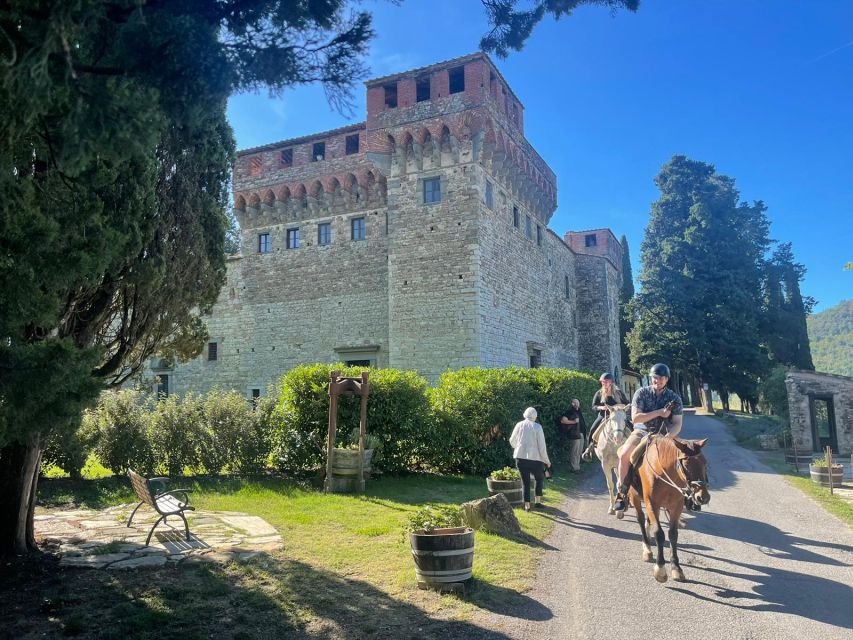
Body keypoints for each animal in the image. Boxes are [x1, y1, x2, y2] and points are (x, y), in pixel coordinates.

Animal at [628, 438, 708, 584]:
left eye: (705, 463)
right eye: (686, 464)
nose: (703, 497)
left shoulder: (676, 506)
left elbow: (673, 534)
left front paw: (676, 568)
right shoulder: (652, 504)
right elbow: (659, 533)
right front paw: (660, 569)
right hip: (635, 497)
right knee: (641, 519)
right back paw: (647, 548)